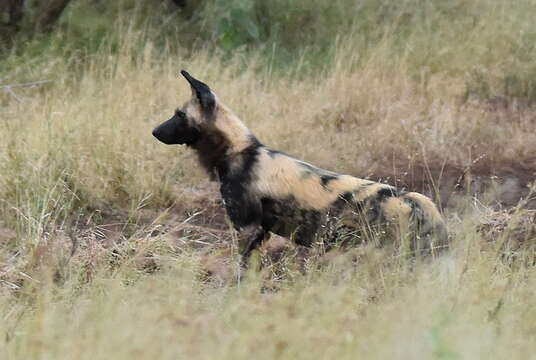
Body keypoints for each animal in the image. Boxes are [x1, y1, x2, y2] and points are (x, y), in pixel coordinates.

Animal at [154, 70, 448, 262]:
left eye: (179, 115)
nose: (154, 131)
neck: (239, 151)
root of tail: (413, 200)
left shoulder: (246, 229)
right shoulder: (260, 232)